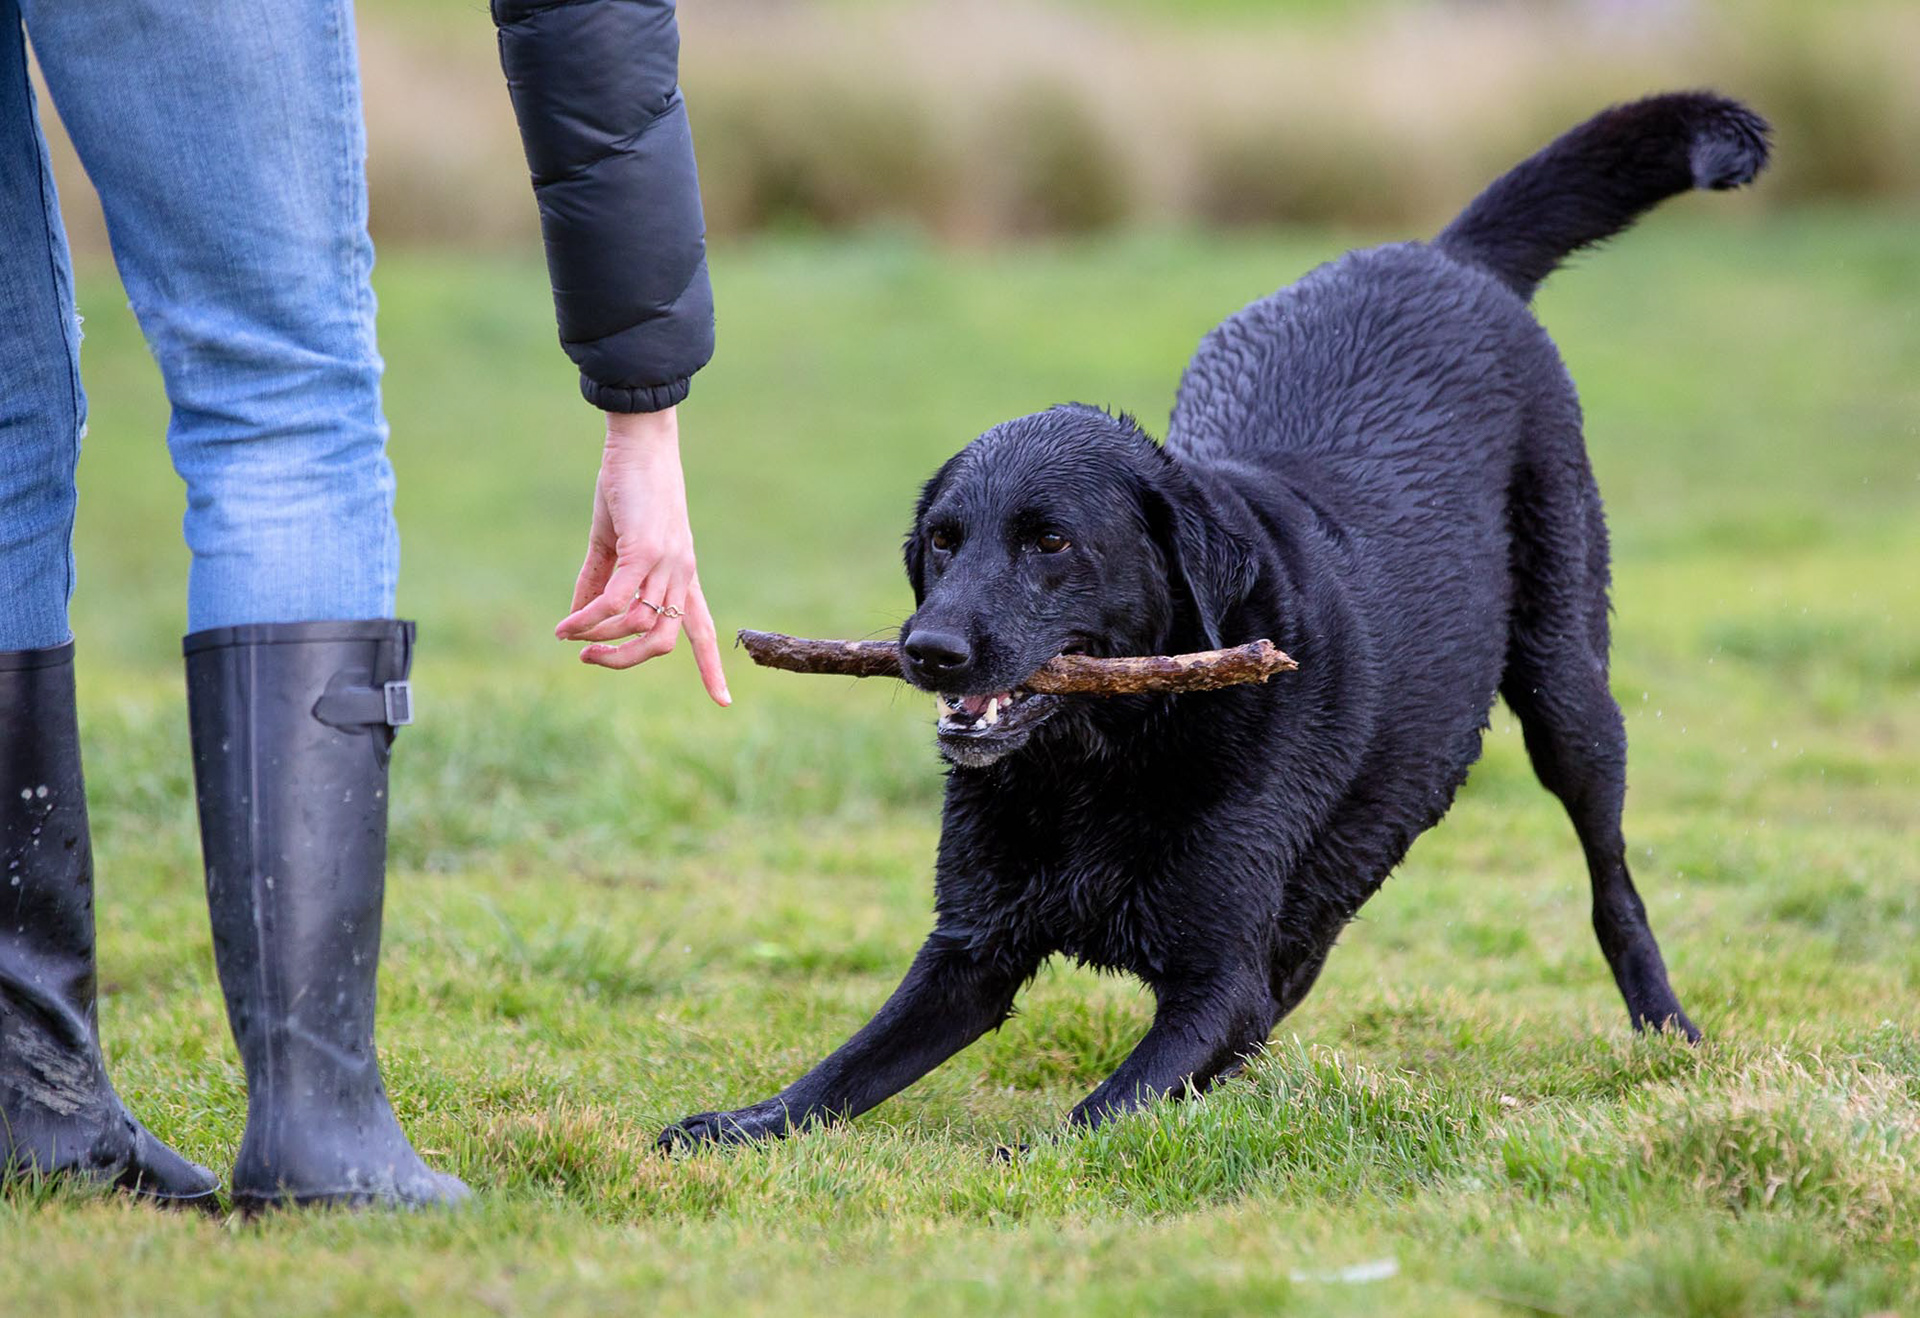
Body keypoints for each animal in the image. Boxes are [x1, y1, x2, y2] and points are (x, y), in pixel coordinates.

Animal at [660, 92, 1770, 1150]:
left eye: (1050, 542)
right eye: (941, 540)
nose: (927, 651)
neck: (1100, 761)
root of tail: (1442, 255)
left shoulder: (1215, 979)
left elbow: (1099, 1112)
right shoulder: (970, 950)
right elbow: (846, 1068)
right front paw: (739, 1123)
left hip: (1567, 691)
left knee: (1610, 878)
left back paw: (1665, 1028)